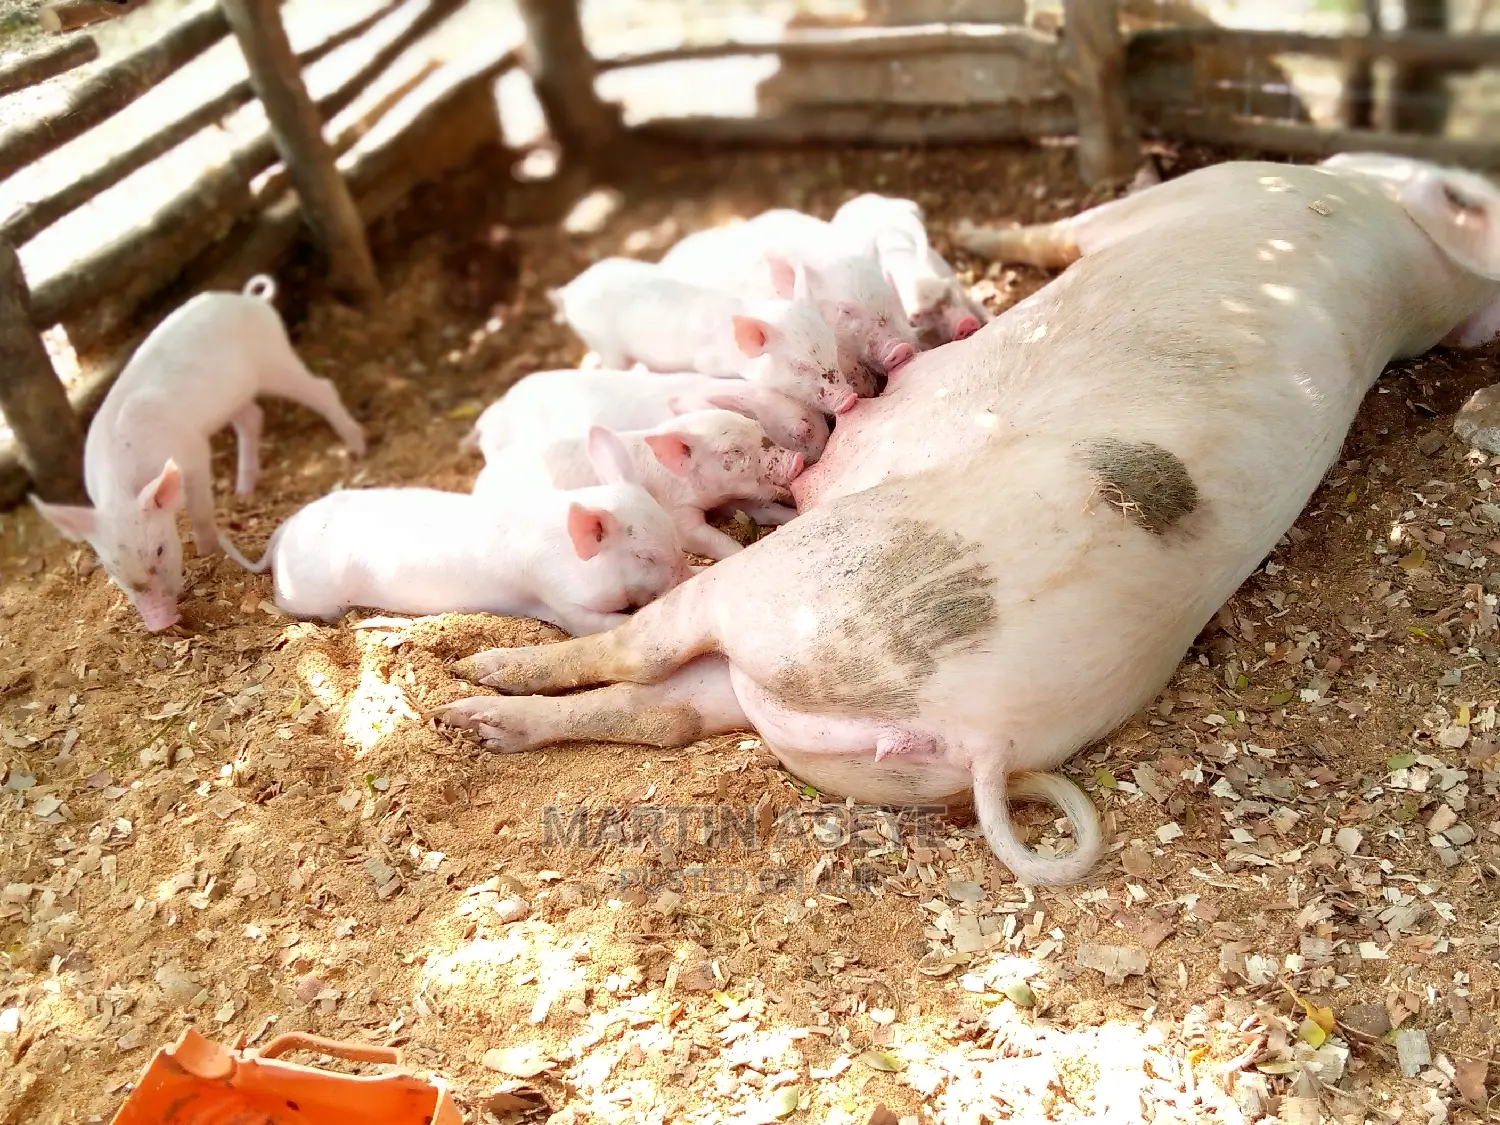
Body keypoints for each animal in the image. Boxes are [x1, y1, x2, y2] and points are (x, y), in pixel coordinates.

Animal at [29, 275, 365, 633]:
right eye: (111, 567)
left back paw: (357, 447)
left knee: (322, 387)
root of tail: (250, 300)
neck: (121, 489)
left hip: (275, 362)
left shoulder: (193, 453)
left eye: (160, 550)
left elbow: (201, 511)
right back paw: (243, 491)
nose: (159, 621)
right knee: (253, 417)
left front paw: (205, 552)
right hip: (233, 396)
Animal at [244, 428, 690, 635]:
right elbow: (594, 624)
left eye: (673, 535)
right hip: (309, 595)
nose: (684, 575)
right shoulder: (559, 596)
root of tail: (284, 532)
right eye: (644, 556)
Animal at [473, 409, 804, 560]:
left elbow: (763, 509)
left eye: (758, 429)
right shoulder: (677, 515)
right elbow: (710, 539)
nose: (797, 458)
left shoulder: (730, 497)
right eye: (733, 452)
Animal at [550, 256, 855, 416]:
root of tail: (570, 289)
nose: (850, 398)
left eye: (832, 349)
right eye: (800, 365)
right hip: (605, 343)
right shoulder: (709, 364)